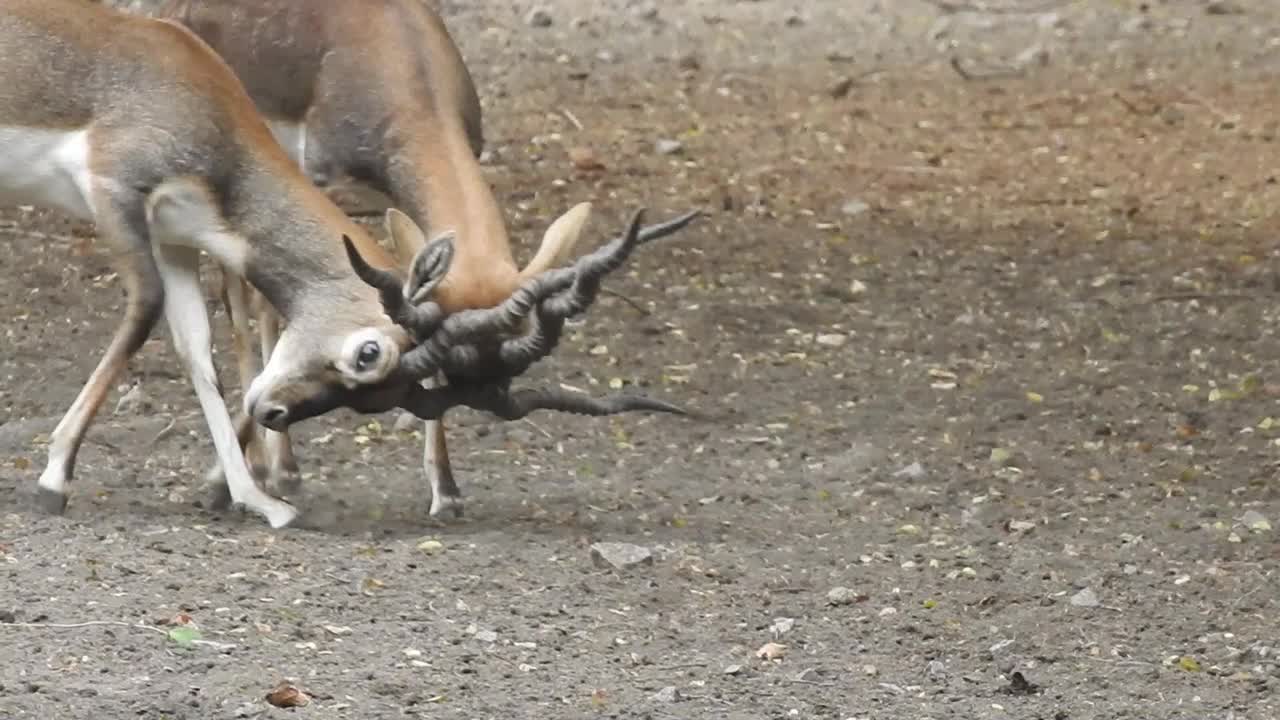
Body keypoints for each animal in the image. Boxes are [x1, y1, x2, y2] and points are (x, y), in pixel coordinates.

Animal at [2, 0, 691, 527]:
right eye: (369, 354)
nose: (274, 412)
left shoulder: (175, 232)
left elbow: (195, 350)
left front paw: (260, 497)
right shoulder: (119, 192)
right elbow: (149, 311)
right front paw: (56, 478)